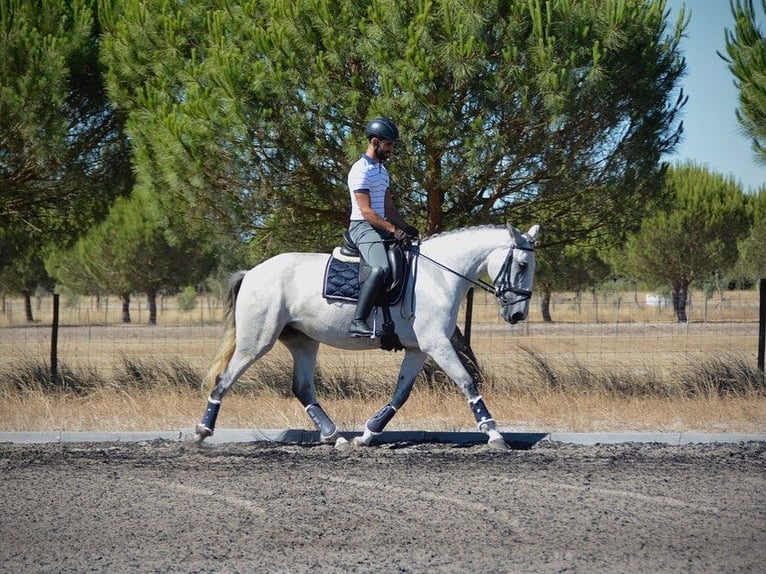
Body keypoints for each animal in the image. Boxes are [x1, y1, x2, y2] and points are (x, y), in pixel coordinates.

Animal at [192, 223, 540, 452]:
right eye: (523, 264)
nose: (517, 315)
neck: (438, 276)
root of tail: (251, 273)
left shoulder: (418, 350)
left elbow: (400, 395)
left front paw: (367, 435)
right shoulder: (438, 344)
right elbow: (467, 382)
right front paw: (494, 435)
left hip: (303, 341)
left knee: (303, 389)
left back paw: (337, 438)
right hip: (257, 341)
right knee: (223, 380)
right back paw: (201, 432)